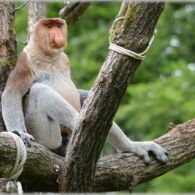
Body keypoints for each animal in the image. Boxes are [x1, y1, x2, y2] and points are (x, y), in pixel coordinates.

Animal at [1, 18, 168, 164]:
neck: (49, 56)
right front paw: (20, 133)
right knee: (39, 91)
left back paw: (130, 145)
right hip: (42, 135)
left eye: (58, 25)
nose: (57, 34)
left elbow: (79, 92)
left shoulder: (65, 58)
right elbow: (12, 93)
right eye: (49, 26)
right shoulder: (25, 60)